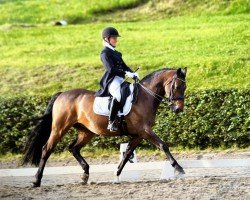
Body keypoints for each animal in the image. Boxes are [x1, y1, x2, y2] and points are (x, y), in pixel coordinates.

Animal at [22, 67, 187, 188]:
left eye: (185, 87)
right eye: (176, 86)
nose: (178, 109)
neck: (144, 97)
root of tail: (62, 94)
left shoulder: (138, 135)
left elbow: (127, 154)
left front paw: (116, 176)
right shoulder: (145, 131)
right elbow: (163, 145)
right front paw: (179, 169)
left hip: (87, 132)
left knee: (73, 148)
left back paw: (85, 175)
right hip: (60, 128)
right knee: (47, 149)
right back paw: (36, 181)